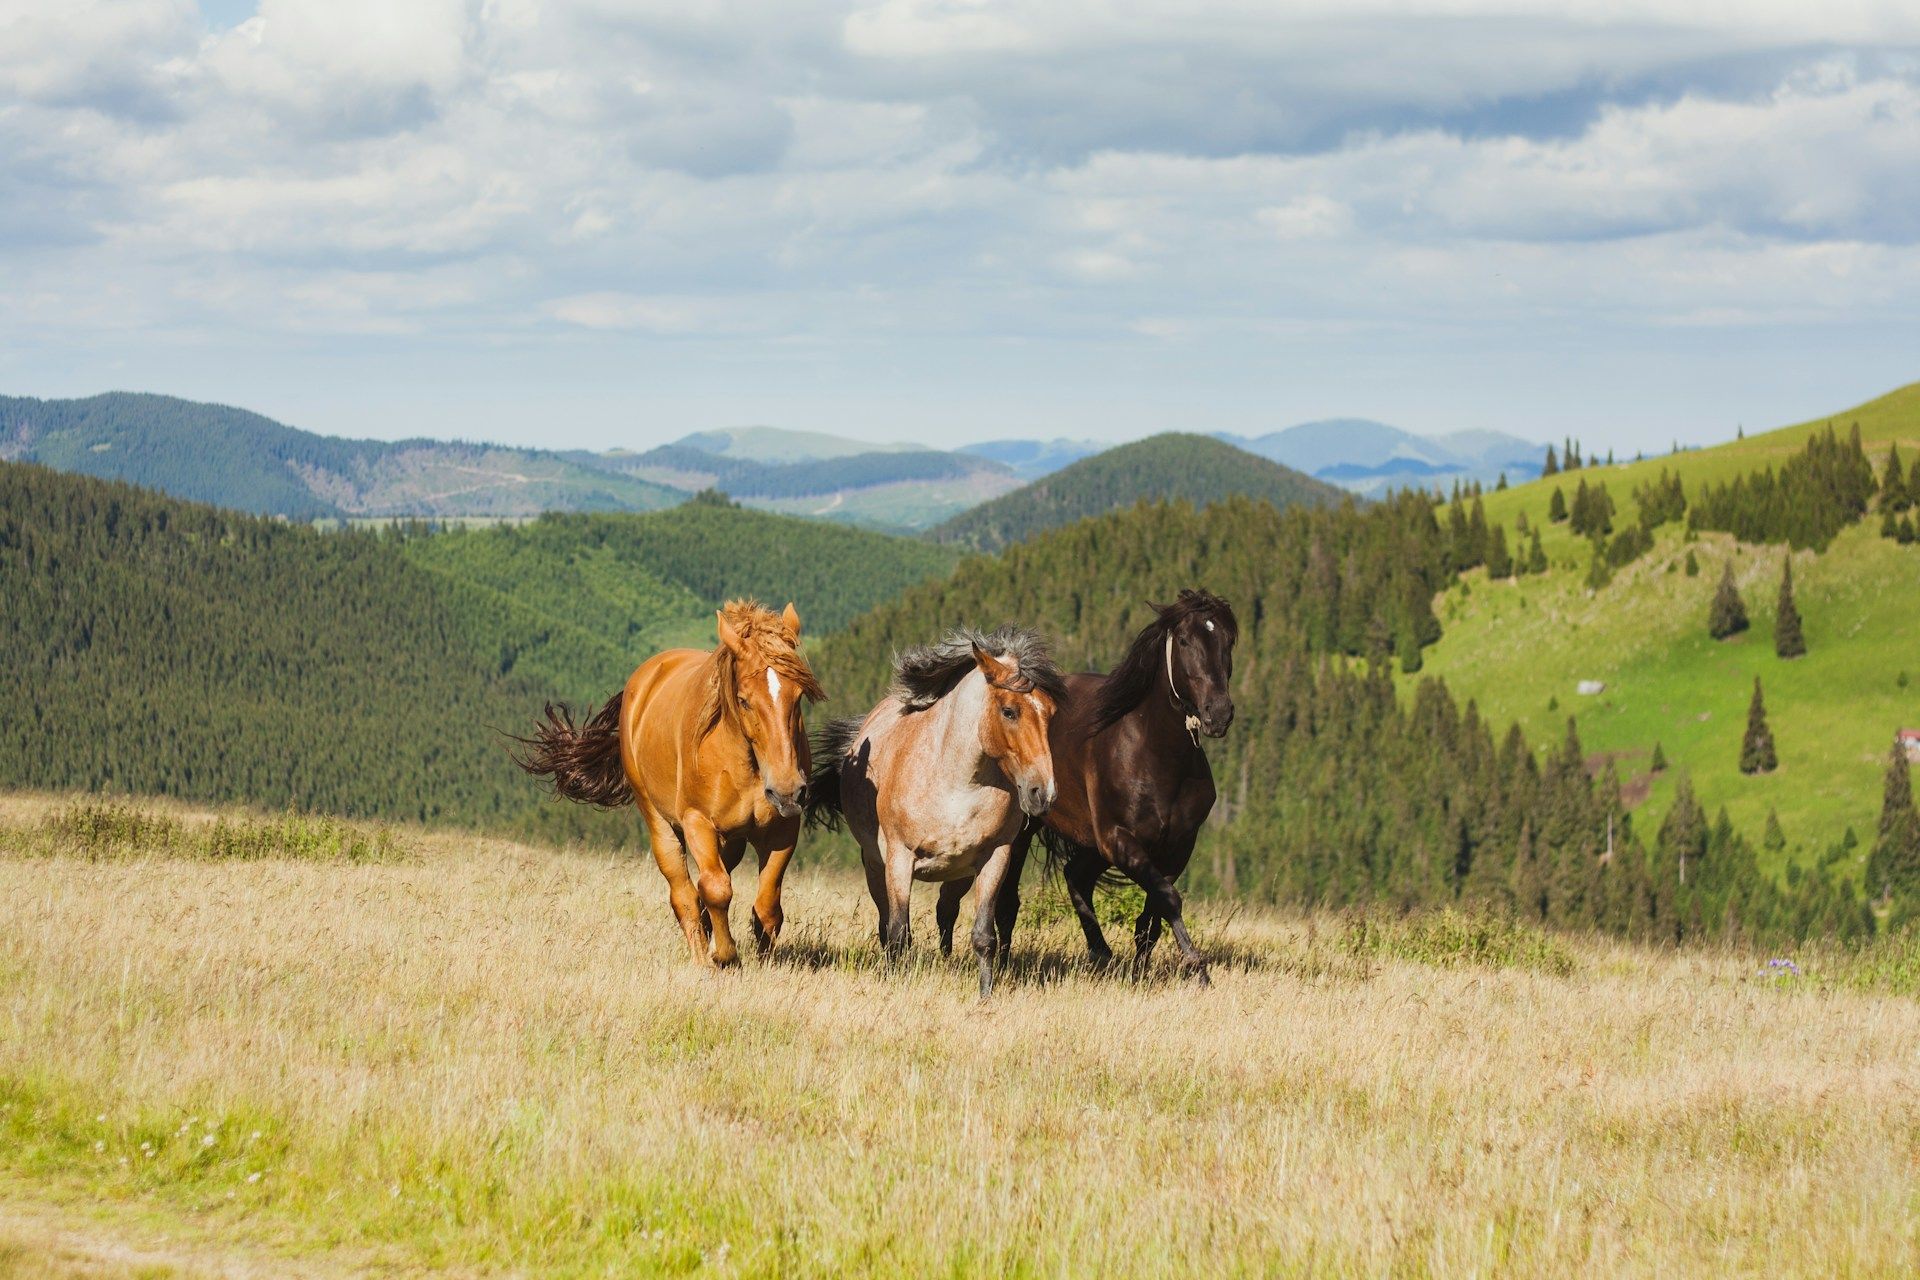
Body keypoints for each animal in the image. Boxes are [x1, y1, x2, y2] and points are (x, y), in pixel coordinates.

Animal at [514, 606, 821, 967]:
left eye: (798, 696)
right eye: (744, 700)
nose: (787, 790)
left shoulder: (783, 830)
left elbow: (768, 906)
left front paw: (764, 961)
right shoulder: (697, 822)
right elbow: (716, 889)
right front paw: (725, 956)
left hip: (732, 839)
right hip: (660, 821)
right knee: (685, 893)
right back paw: (702, 955)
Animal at [798, 629, 1067, 997]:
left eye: (1050, 713)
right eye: (1009, 711)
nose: (1044, 793)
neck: (956, 785)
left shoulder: (995, 858)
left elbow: (984, 935)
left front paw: (986, 994)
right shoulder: (899, 859)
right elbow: (898, 932)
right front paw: (894, 985)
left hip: (959, 874)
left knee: (946, 912)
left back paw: (947, 961)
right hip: (875, 867)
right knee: (888, 923)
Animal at [933, 587, 1244, 990]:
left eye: (1228, 640)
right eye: (1186, 640)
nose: (1218, 713)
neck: (1155, 754)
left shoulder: (1177, 846)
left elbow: (1153, 915)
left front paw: (1141, 971)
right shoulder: (1119, 839)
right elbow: (1169, 899)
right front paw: (1197, 968)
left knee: (1074, 876)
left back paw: (1101, 954)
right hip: (1026, 833)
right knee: (1006, 902)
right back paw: (999, 963)